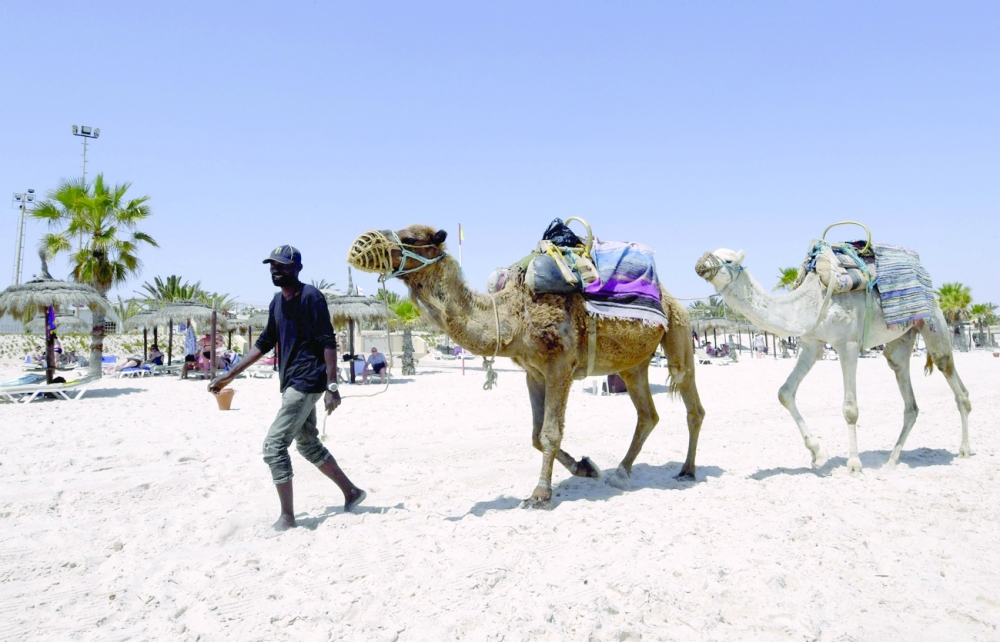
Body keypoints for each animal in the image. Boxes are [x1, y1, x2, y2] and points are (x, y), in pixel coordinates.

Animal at [348, 225, 705, 508]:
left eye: (409, 237)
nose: (358, 245)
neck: (512, 318)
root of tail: (671, 299)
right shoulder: (533, 373)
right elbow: (535, 435)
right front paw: (585, 467)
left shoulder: (561, 366)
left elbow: (549, 434)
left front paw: (539, 494)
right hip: (634, 364)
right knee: (648, 414)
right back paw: (620, 471)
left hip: (679, 332)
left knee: (692, 404)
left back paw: (687, 471)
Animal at [694, 248, 971, 472]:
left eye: (728, 259)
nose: (701, 263)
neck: (810, 302)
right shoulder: (812, 345)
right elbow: (785, 392)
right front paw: (818, 454)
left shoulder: (847, 344)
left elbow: (850, 408)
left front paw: (854, 463)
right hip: (900, 340)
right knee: (908, 394)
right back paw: (892, 460)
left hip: (934, 321)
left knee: (953, 379)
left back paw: (964, 450)